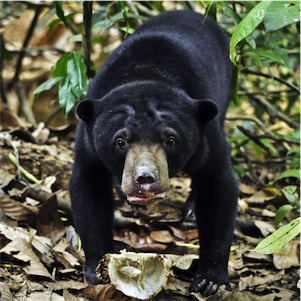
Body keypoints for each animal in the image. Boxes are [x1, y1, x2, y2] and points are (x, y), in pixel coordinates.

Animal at [69, 9, 238, 296]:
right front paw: (98, 268)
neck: (146, 75)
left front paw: (210, 280)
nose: (145, 178)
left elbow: (218, 188)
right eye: (120, 141)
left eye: (170, 140)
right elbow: (88, 190)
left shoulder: (207, 139)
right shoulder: (89, 142)